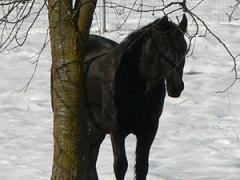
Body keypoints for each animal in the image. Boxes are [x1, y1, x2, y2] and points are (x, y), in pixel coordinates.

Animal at [84, 14, 188, 179]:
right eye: (164, 48)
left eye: (185, 49)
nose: (176, 87)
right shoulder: (117, 131)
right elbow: (120, 166)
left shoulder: (149, 130)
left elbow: (142, 167)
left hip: (97, 129)